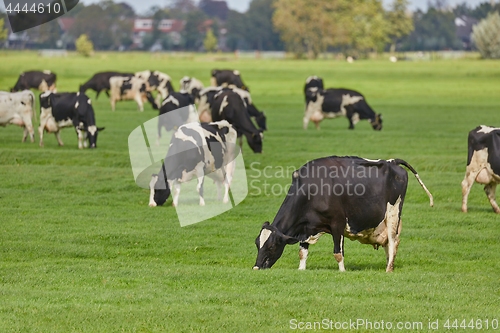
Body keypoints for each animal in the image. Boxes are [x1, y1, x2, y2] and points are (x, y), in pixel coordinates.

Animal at [254, 156, 434, 272]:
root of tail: (392, 162)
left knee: (393, 241)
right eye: (257, 243)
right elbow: (302, 252)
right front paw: (301, 270)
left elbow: (338, 253)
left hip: (393, 214)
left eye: (271, 246)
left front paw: (342, 271)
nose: (256, 267)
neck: (312, 188)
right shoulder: (306, 227)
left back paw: (389, 269)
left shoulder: (337, 223)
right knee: (389, 244)